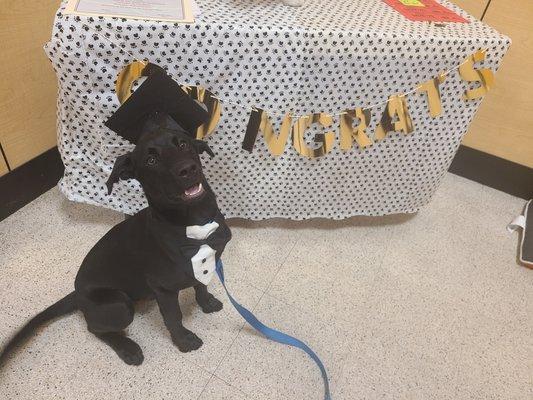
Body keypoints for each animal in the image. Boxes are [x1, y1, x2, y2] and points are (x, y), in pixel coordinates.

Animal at [1, 112, 232, 366]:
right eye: (151, 161)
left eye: (183, 144)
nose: (188, 169)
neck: (195, 222)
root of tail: (77, 294)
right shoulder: (164, 289)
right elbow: (173, 317)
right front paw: (184, 341)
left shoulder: (209, 260)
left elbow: (201, 286)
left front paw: (207, 303)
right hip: (120, 305)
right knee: (95, 329)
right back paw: (127, 348)